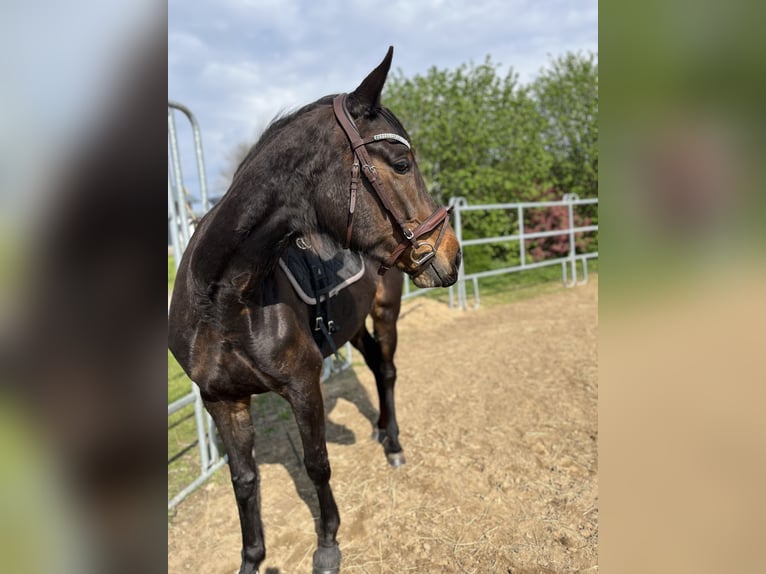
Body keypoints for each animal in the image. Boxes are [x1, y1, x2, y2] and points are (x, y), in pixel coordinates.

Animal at [168, 47, 461, 574]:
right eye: (401, 163)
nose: (452, 254)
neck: (223, 302)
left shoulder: (303, 385)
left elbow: (316, 464)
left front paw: (327, 545)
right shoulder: (220, 399)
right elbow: (244, 480)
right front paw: (252, 559)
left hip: (385, 313)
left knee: (388, 371)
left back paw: (394, 444)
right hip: (353, 325)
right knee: (374, 365)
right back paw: (381, 431)